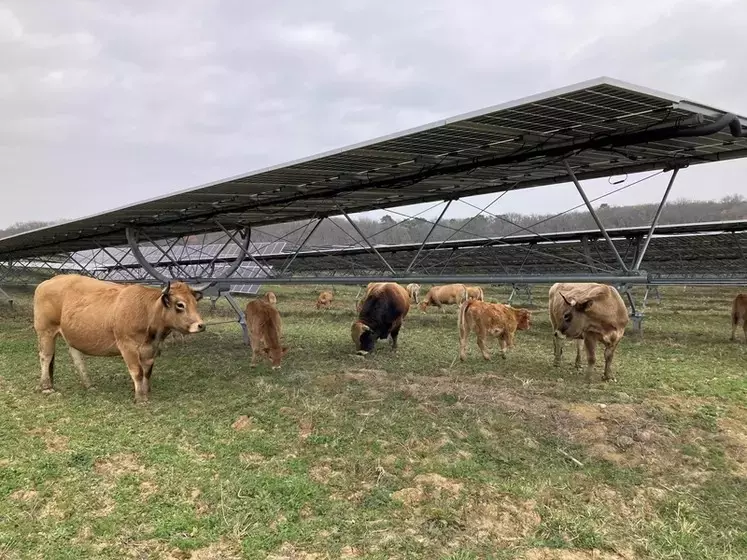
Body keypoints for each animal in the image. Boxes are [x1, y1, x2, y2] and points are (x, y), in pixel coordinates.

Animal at [33, 274, 205, 402]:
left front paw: (146, 390)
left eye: (195, 303)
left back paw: (89, 385)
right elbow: (137, 371)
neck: (146, 311)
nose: (201, 325)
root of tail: (49, 281)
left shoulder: (150, 349)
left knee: (77, 359)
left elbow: (147, 371)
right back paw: (47, 387)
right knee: (45, 357)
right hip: (45, 331)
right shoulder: (127, 346)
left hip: (72, 335)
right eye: (180, 304)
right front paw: (140, 398)